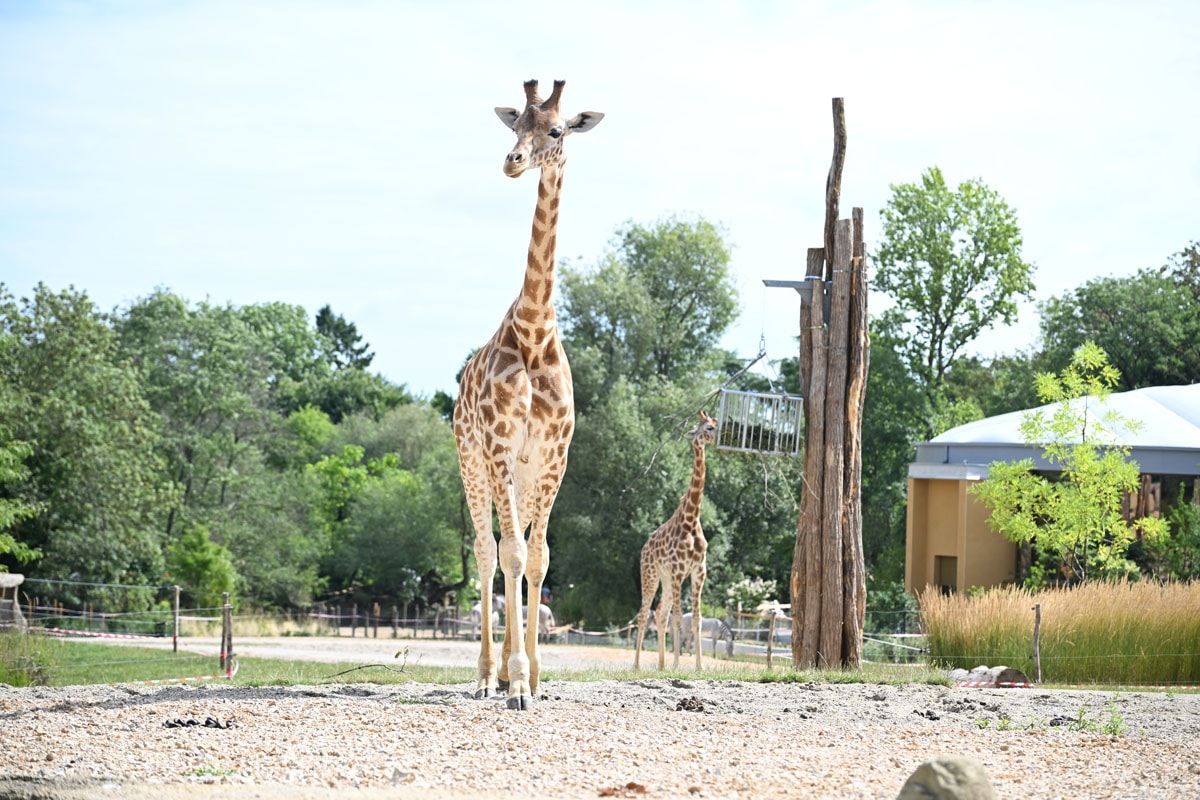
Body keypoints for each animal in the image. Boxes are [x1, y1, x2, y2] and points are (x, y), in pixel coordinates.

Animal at [634, 411, 719, 671]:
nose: (717, 437)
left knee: (661, 612)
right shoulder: (678, 571)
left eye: (715, 424)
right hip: (651, 575)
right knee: (644, 614)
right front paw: (677, 666)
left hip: (665, 579)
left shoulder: (698, 571)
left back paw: (661, 664)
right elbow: (679, 620)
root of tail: (643, 549)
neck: (691, 520)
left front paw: (699, 667)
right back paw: (637, 665)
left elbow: (697, 620)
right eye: (708, 427)